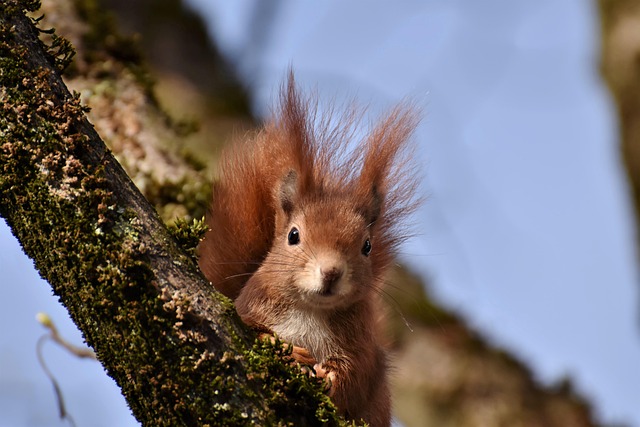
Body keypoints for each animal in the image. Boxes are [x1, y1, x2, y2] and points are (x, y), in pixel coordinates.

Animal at [198, 74, 419, 427]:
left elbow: (356, 377)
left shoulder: (362, 347)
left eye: (366, 246)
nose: (330, 272)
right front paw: (287, 351)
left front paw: (330, 378)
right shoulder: (248, 308)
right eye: (293, 236)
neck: (310, 310)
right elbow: (253, 330)